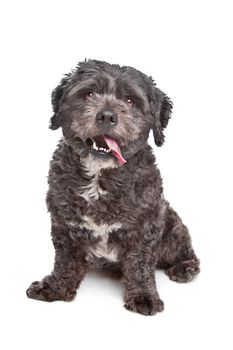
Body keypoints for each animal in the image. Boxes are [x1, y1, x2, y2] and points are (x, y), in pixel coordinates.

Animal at [26, 58, 199, 316]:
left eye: (130, 100)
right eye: (88, 93)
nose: (107, 116)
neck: (100, 179)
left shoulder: (146, 228)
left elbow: (140, 264)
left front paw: (144, 296)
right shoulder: (64, 225)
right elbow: (65, 261)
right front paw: (56, 288)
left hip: (172, 226)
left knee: (184, 250)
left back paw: (184, 267)